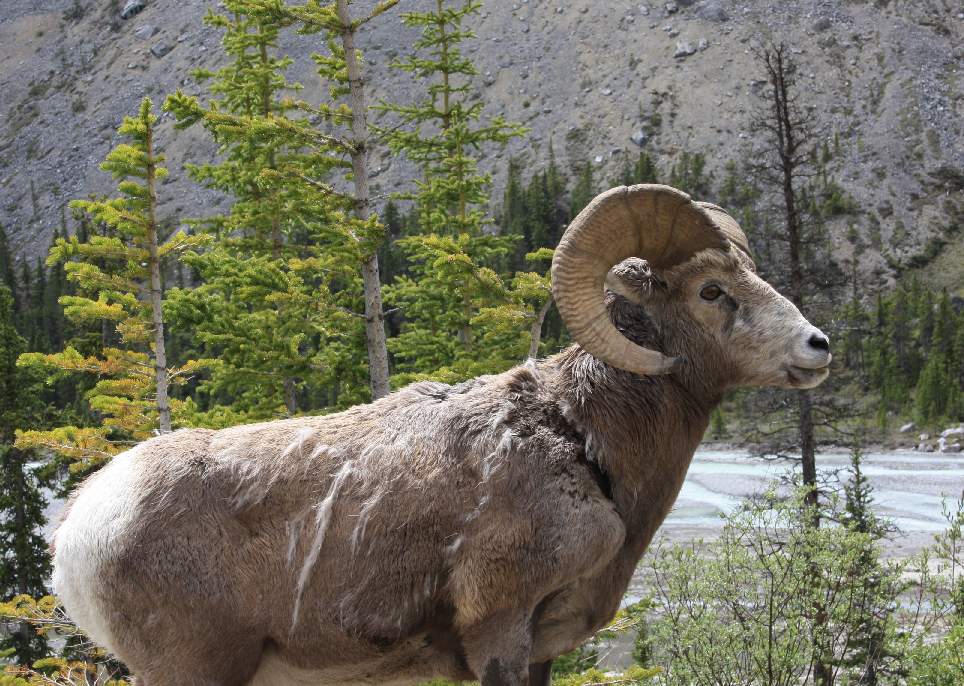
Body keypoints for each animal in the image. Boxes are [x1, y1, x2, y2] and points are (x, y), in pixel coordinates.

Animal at [56, 185, 832, 684]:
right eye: (711, 291)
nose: (818, 346)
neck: (583, 446)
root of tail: (82, 528)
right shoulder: (497, 628)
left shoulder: (542, 649)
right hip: (195, 669)